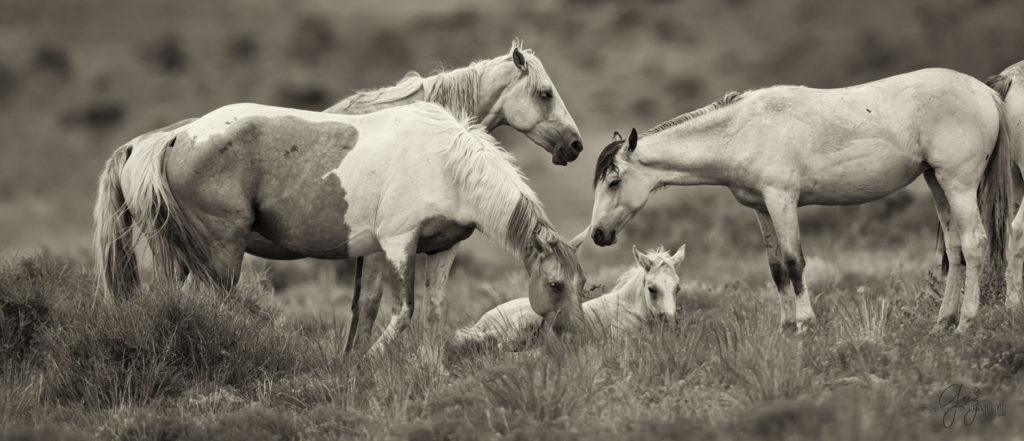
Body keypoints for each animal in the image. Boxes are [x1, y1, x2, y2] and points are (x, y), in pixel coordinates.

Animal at [93, 101, 589, 354]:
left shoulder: (438, 249)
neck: (445, 161)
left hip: (186, 255)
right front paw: (369, 361)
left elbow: (426, 312)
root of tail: (173, 137)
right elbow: (403, 310)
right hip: (220, 252)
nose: (579, 337)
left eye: (584, 285)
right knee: (217, 303)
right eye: (555, 284)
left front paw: (429, 368)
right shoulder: (398, 244)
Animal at [448, 238, 688, 360]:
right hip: (528, 319)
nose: (671, 324)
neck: (631, 310)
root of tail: (482, 322)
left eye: (677, 287)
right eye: (651, 289)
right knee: (502, 352)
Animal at [589, 67, 1011, 333]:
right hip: (936, 182)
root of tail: (987, 92)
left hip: (958, 183)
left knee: (974, 244)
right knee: (955, 251)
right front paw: (786, 326)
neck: (743, 130)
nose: (597, 235)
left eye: (614, 181)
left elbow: (795, 262)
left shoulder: (782, 201)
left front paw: (806, 323)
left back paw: (966, 323)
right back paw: (943, 322)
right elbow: (777, 268)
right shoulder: (762, 208)